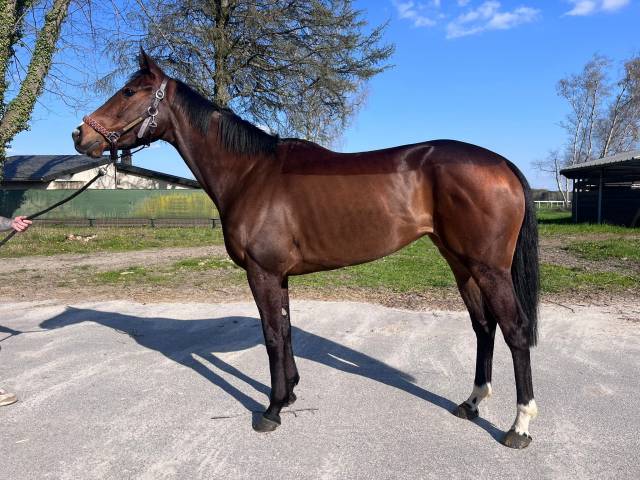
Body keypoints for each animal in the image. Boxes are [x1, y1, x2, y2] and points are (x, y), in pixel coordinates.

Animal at [72, 49, 540, 449]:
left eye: (129, 91)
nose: (80, 134)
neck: (251, 173)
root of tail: (502, 163)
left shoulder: (261, 272)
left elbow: (271, 336)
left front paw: (272, 409)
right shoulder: (278, 275)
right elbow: (286, 330)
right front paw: (291, 393)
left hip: (489, 267)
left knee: (515, 331)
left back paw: (518, 426)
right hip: (460, 262)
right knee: (483, 326)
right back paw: (471, 403)